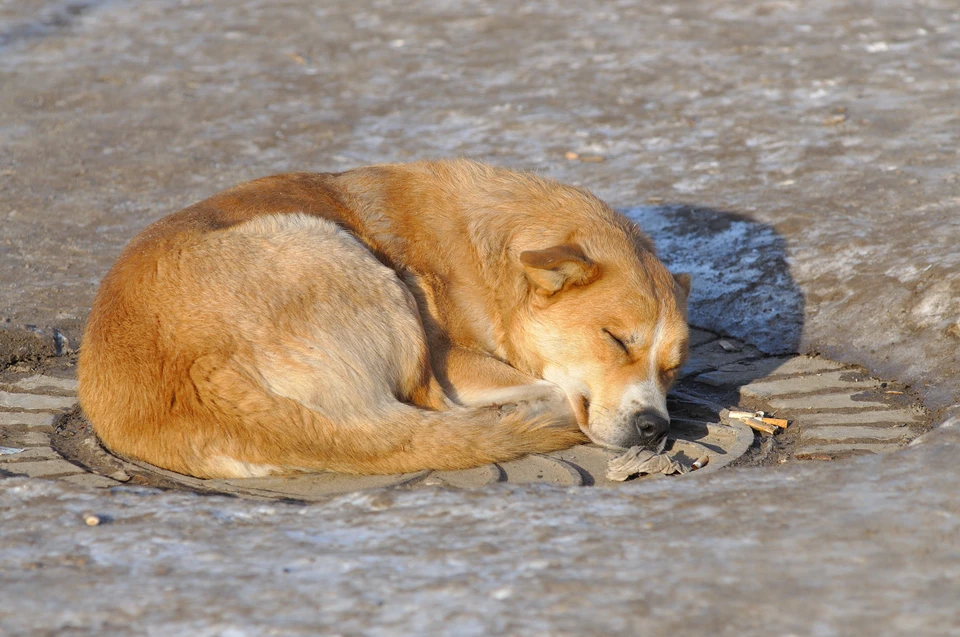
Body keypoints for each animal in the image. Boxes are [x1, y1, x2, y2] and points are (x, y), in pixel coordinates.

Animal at [77, 159, 688, 476]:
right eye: (615, 340)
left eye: (672, 368)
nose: (655, 427)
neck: (492, 258)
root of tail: (207, 383)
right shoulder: (452, 359)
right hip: (346, 260)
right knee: (441, 401)